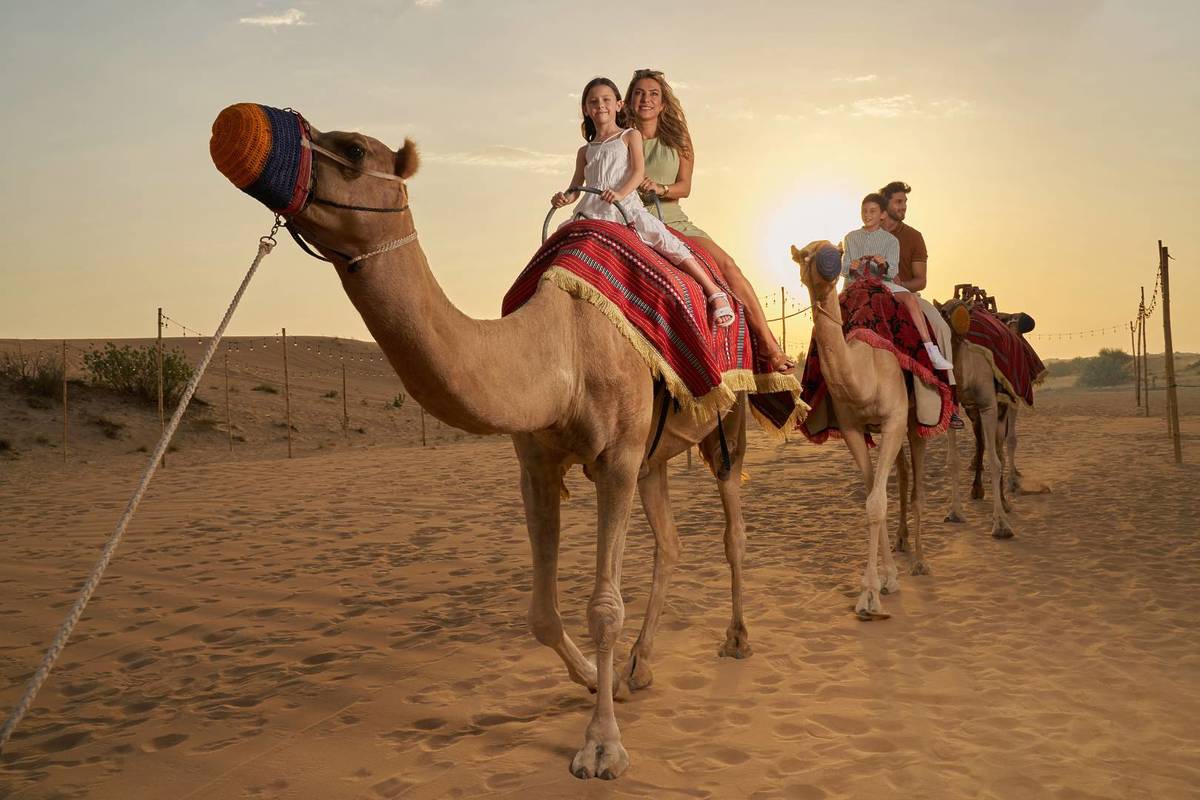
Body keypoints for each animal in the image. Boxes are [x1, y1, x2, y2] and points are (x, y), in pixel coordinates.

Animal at [210, 108, 782, 780]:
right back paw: (640, 667)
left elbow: (603, 608)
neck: (560, 346)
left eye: (351, 150)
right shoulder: (536, 462)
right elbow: (541, 613)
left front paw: (602, 746)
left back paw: (736, 639)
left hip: (726, 423)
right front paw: (596, 681)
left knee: (731, 527)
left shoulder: (614, 459)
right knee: (670, 544)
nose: (236, 126)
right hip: (654, 456)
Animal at [791, 242, 933, 621]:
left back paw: (921, 561)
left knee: (917, 484)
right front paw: (884, 580)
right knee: (900, 475)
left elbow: (877, 502)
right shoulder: (853, 429)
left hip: (914, 418)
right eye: (805, 254)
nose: (825, 262)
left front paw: (870, 595)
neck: (863, 372)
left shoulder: (895, 418)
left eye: (834, 252)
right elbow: (872, 497)